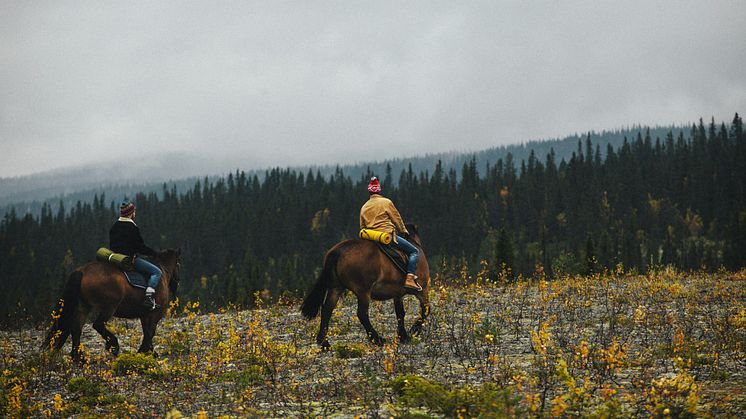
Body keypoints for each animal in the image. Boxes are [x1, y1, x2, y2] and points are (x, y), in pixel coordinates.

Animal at [42, 249, 180, 360]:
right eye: (178, 264)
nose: (176, 283)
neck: (162, 272)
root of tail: (82, 271)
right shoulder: (155, 313)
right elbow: (150, 332)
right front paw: (143, 351)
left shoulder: (145, 314)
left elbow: (147, 331)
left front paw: (149, 352)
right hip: (108, 307)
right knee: (97, 325)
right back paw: (113, 346)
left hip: (83, 307)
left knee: (76, 329)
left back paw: (79, 357)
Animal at [300, 225, 430, 350]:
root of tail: (338, 251)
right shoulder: (422, 290)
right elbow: (426, 310)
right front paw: (414, 330)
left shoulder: (397, 294)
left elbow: (400, 313)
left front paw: (403, 335)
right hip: (363, 292)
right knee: (362, 314)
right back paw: (377, 339)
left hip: (336, 288)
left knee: (327, 309)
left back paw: (324, 342)